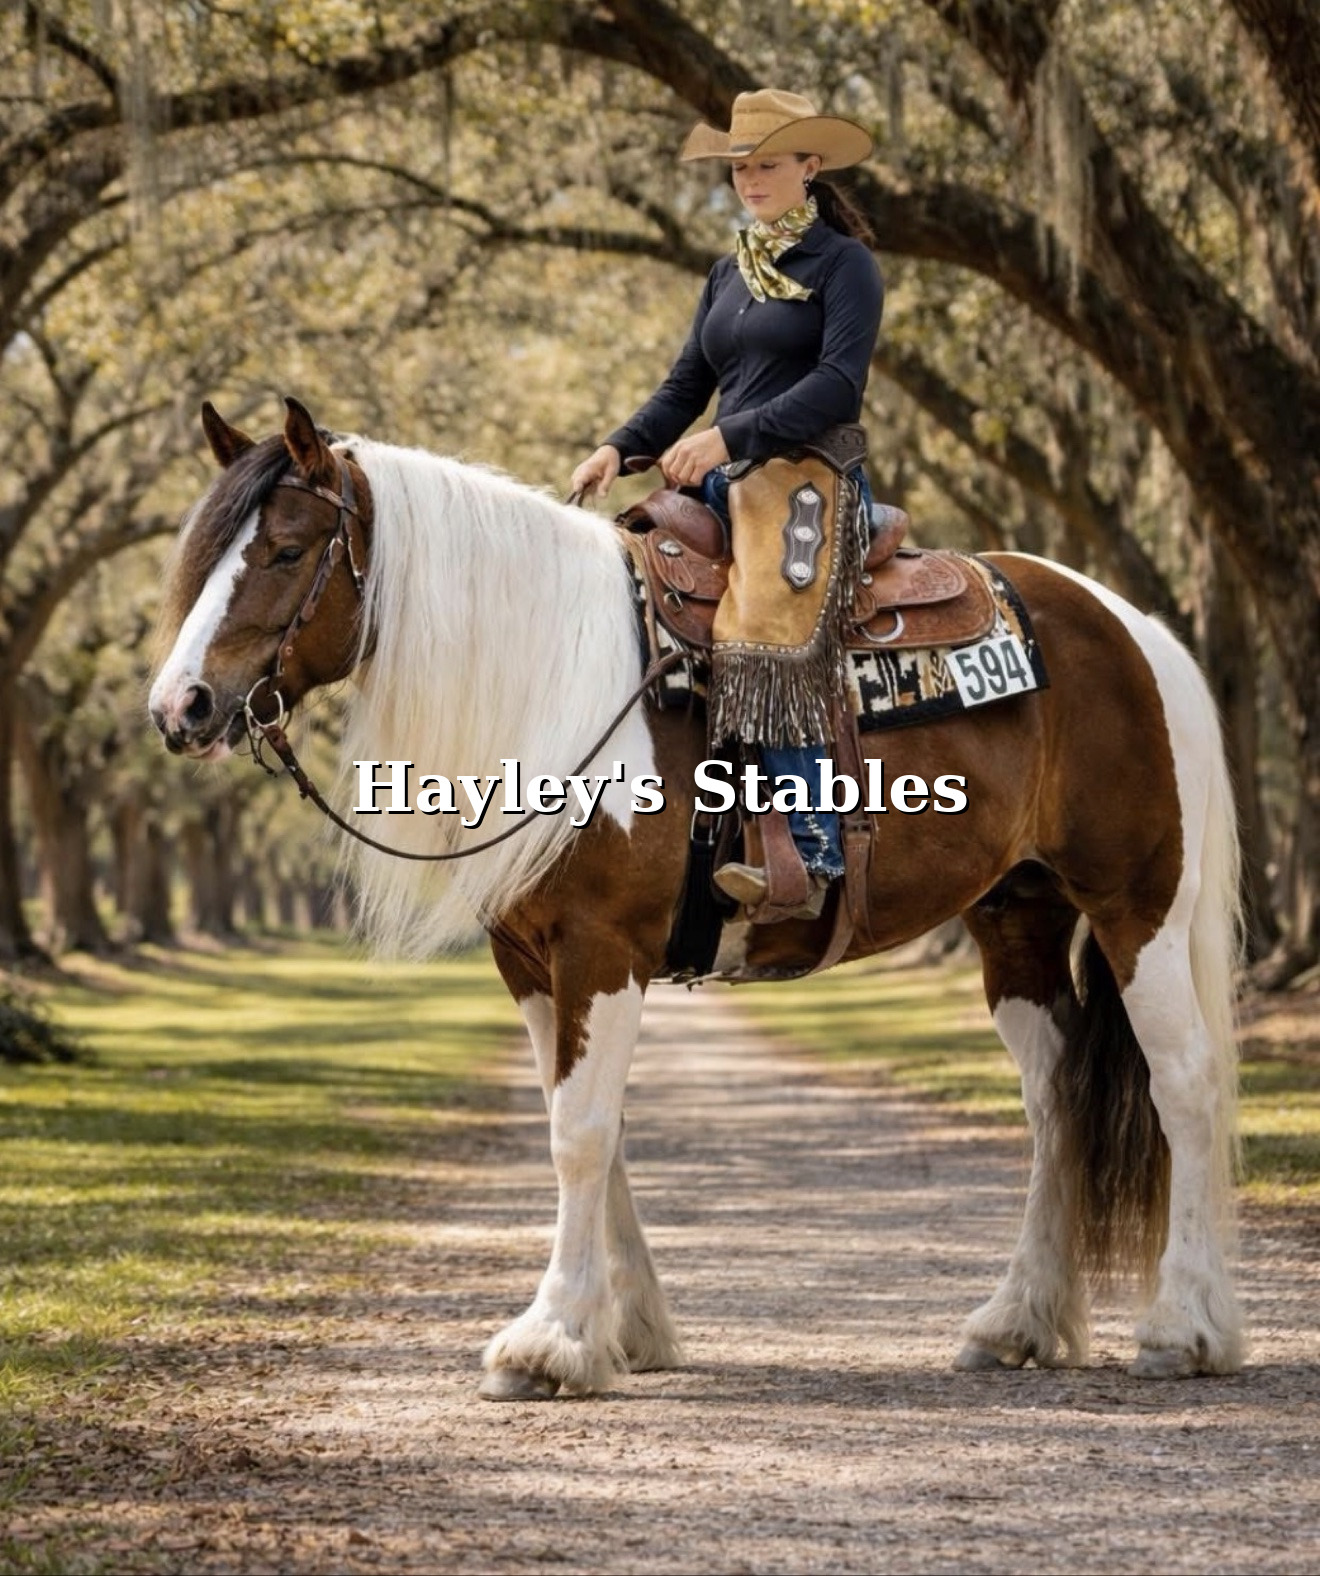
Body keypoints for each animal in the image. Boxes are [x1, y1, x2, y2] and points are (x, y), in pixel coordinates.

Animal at [148, 396, 1244, 1399]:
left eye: (286, 549)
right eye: (201, 557)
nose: (179, 708)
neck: (565, 680)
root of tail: (1136, 629)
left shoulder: (602, 948)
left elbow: (580, 1134)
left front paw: (549, 1340)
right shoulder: (531, 960)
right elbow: (595, 1128)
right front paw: (623, 1330)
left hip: (1138, 908)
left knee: (1183, 1082)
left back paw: (1185, 1329)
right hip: (1018, 918)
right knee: (1056, 1100)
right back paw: (1018, 1322)